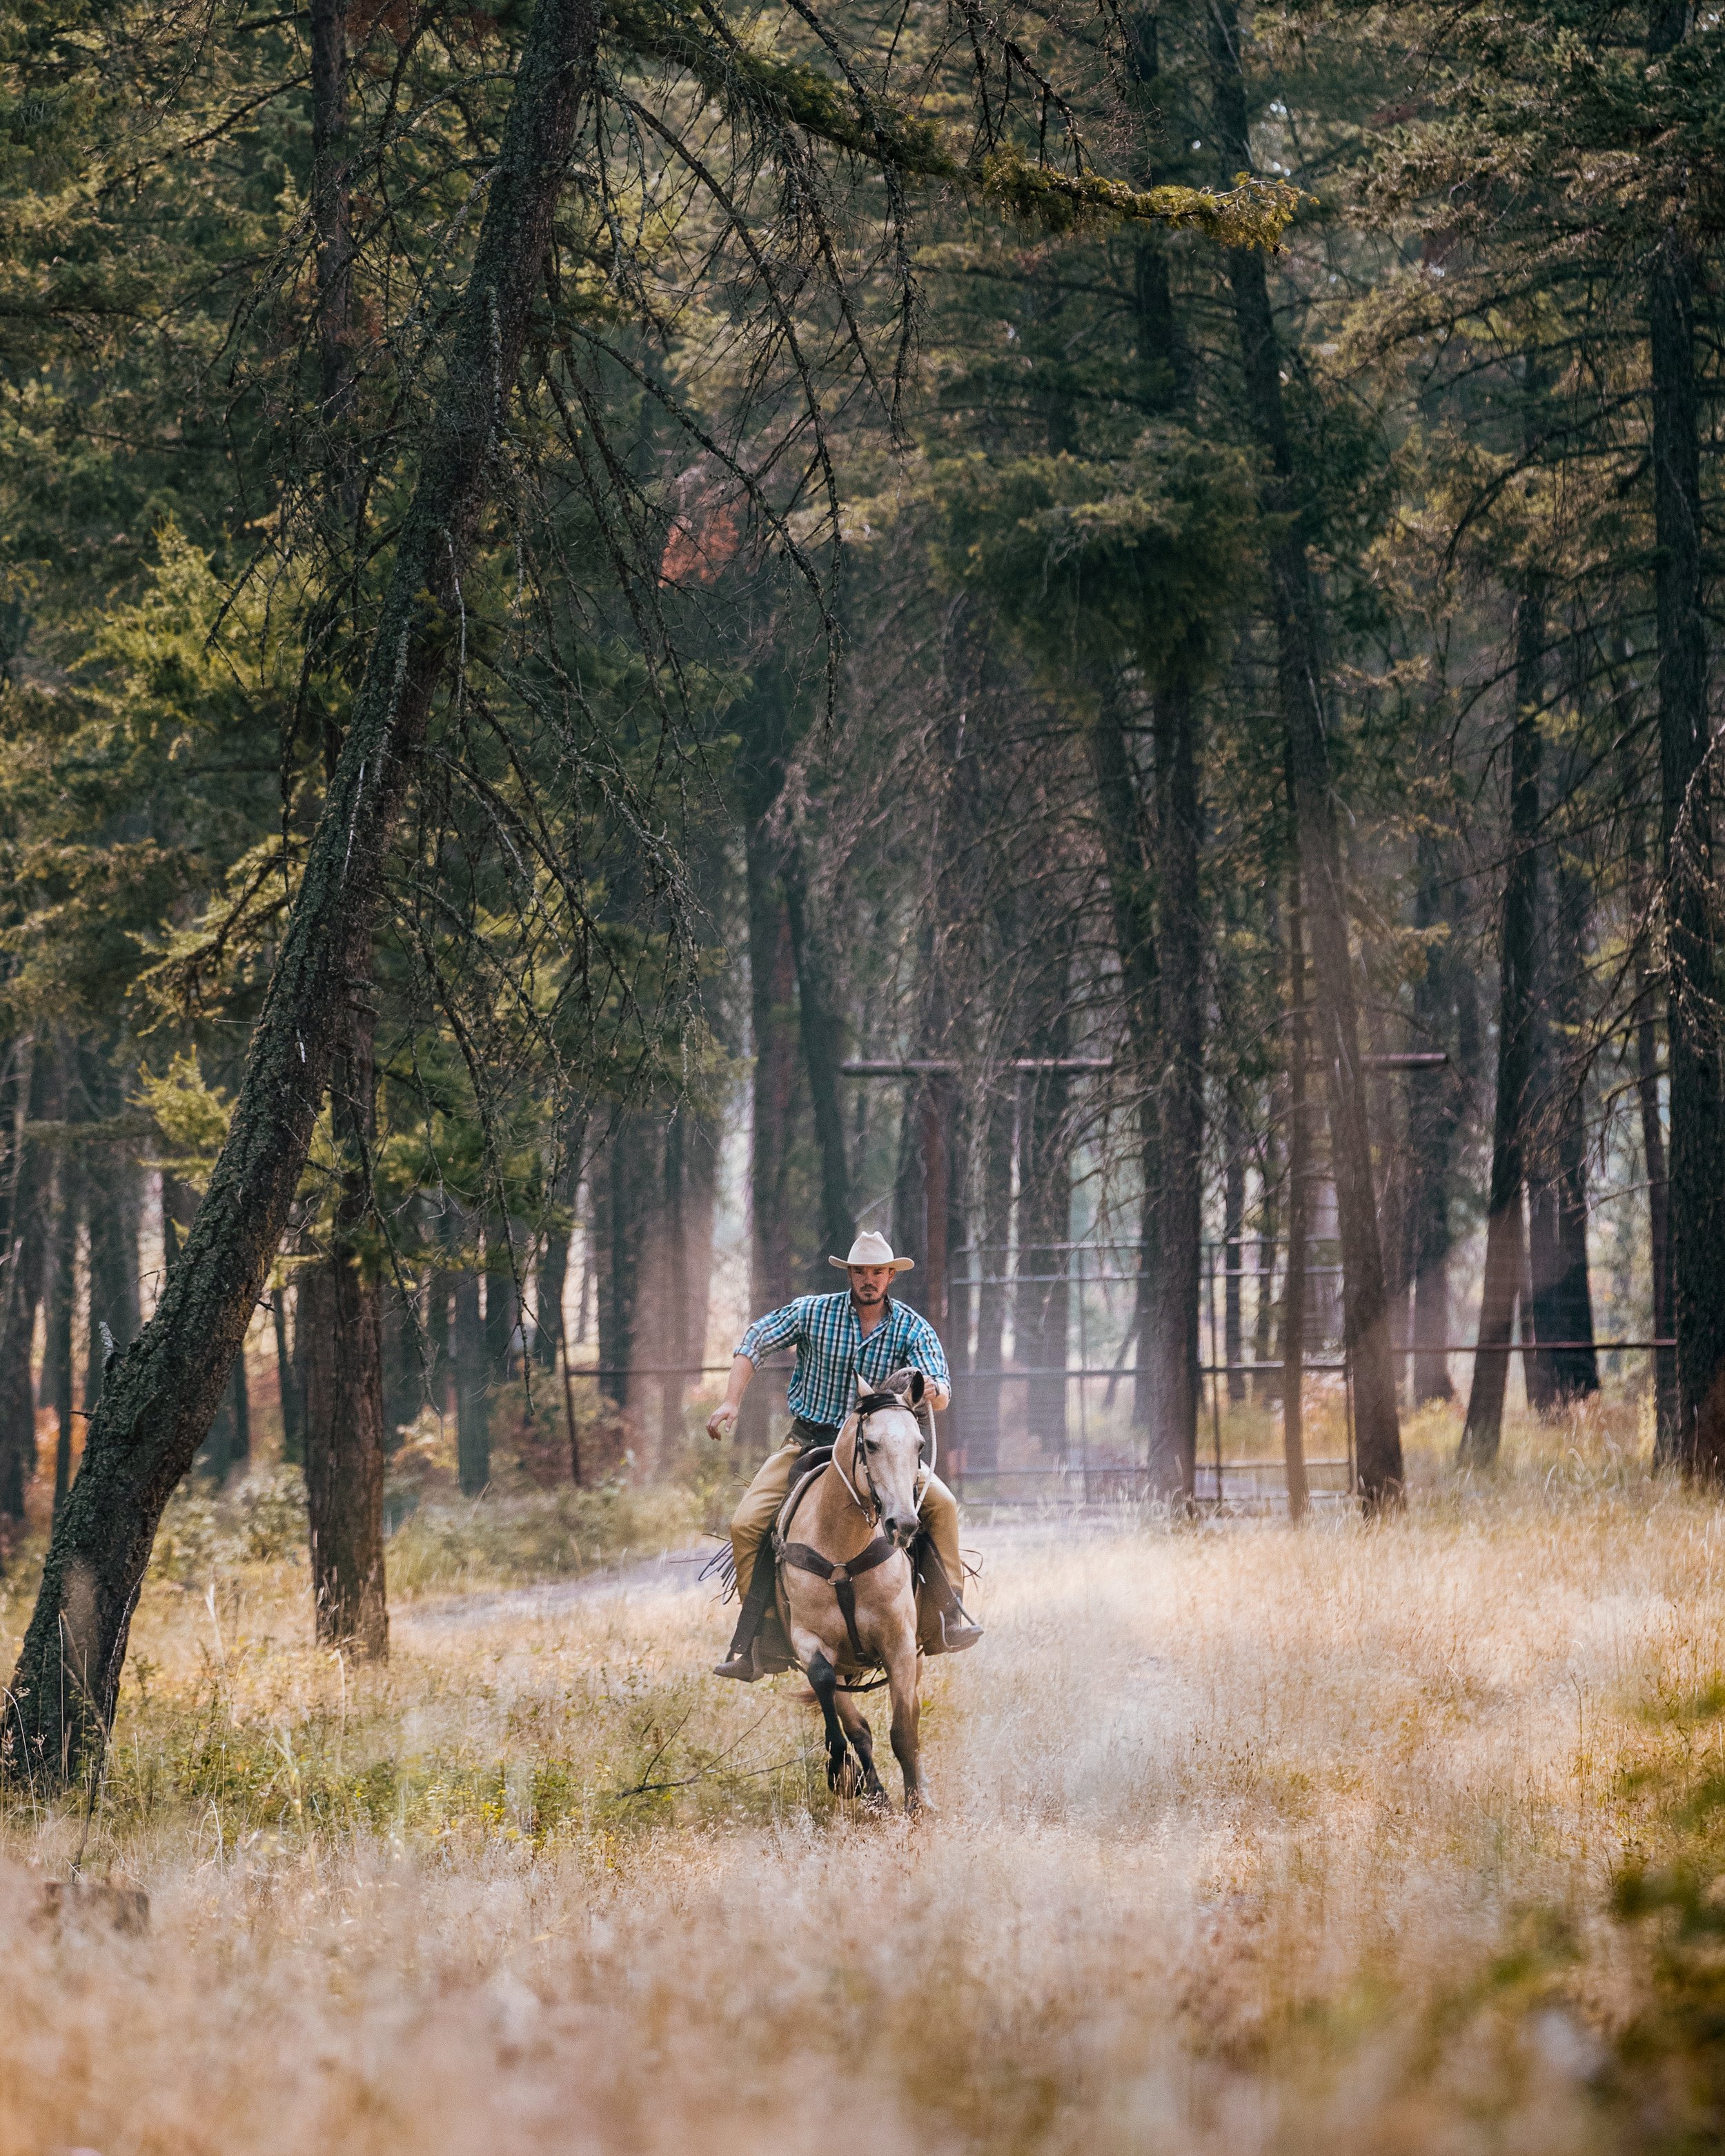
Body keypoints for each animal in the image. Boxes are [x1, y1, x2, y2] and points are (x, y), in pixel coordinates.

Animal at [771, 1371, 931, 1811]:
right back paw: (870, 1789)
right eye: (870, 1444)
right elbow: (830, 1691)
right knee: (855, 1721)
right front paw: (844, 1773)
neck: (842, 1548)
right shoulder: (808, 1640)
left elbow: (904, 1730)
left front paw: (915, 1807)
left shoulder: (900, 1644)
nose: (903, 1524)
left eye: (920, 1445)